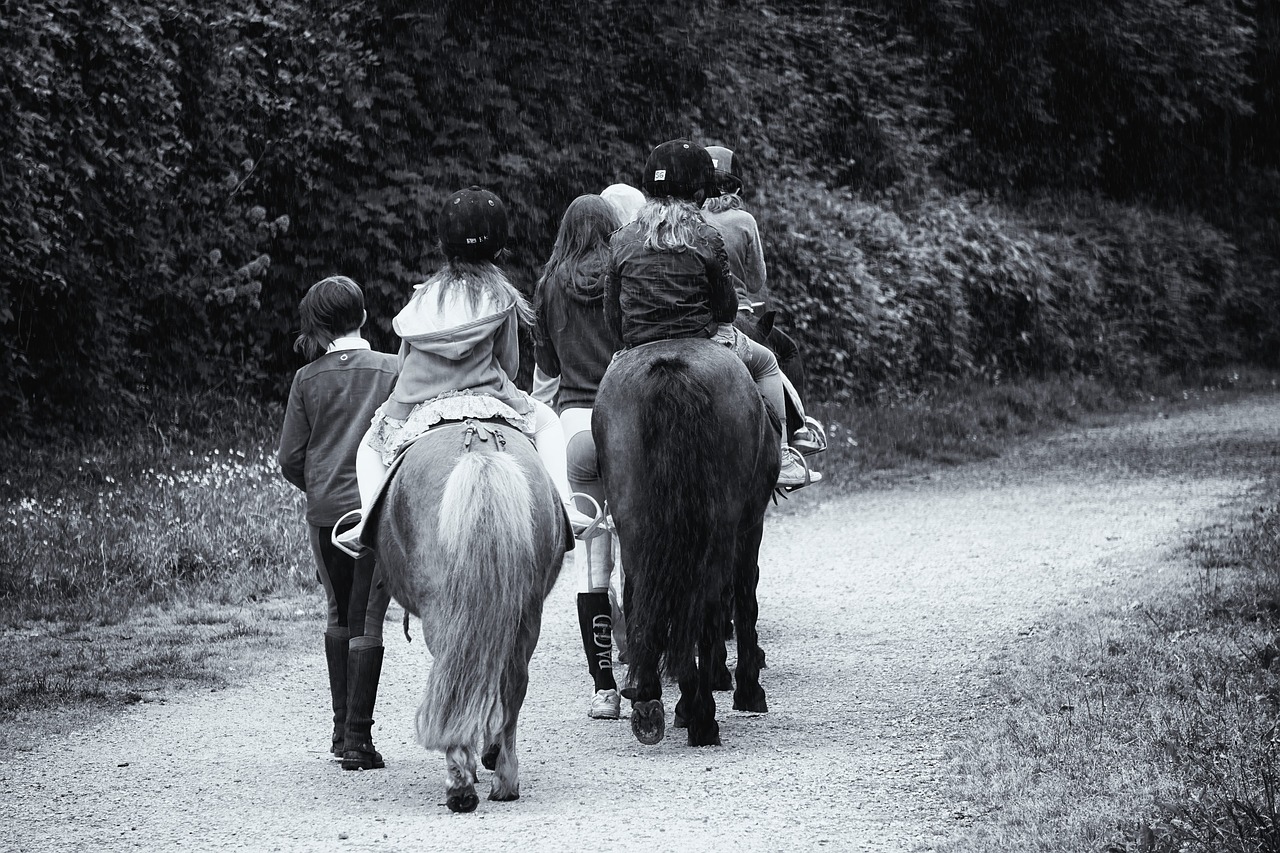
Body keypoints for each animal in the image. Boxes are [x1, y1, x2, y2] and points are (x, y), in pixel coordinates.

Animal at [593, 338, 773, 742]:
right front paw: (746, 689)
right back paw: (701, 716)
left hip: (635, 526)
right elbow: (744, 599)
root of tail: (671, 369)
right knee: (706, 603)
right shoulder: (749, 527)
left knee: (641, 596)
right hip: (719, 527)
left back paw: (648, 701)